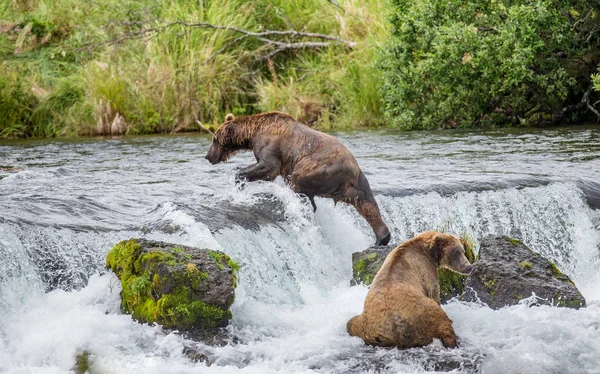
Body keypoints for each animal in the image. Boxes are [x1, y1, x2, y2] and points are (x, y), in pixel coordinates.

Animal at [206, 111, 392, 245]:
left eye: (215, 139)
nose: (208, 156)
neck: (253, 135)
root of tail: (352, 170)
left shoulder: (271, 146)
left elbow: (268, 167)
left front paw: (239, 180)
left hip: (319, 168)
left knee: (296, 180)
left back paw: (305, 203)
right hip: (359, 182)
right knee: (367, 203)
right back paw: (382, 237)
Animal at [346, 232, 474, 350]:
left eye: (463, 250)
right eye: (456, 252)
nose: (469, 267)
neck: (428, 252)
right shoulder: (425, 270)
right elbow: (434, 293)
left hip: (363, 322)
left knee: (351, 323)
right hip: (423, 314)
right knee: (441, 321)